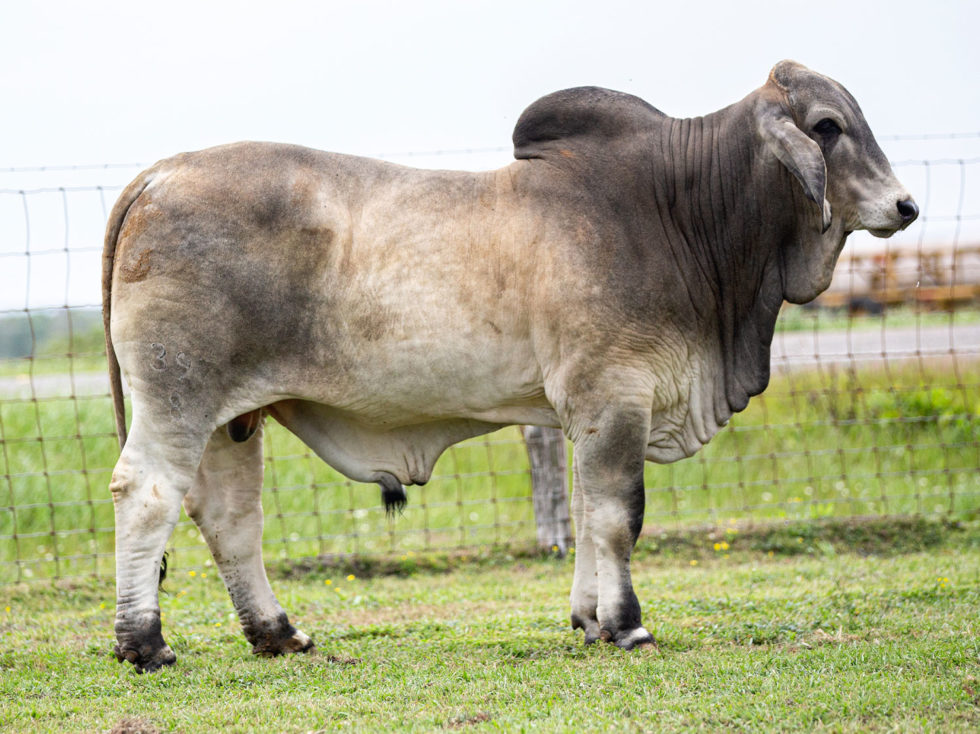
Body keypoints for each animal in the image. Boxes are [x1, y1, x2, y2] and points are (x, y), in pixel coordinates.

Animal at [105, 61, 920, 672]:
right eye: (827, 126)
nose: (906, 206)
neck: (677, 211)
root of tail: (160, 173)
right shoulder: (615, 394)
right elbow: (619, 516)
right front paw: (628, 624)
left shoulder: (587, 413)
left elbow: (588, 513)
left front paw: (589, 619)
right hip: (179, 395)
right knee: (146, 494)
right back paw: (144, 643)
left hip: (232, 418)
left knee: (230, 519)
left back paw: (278, 634)